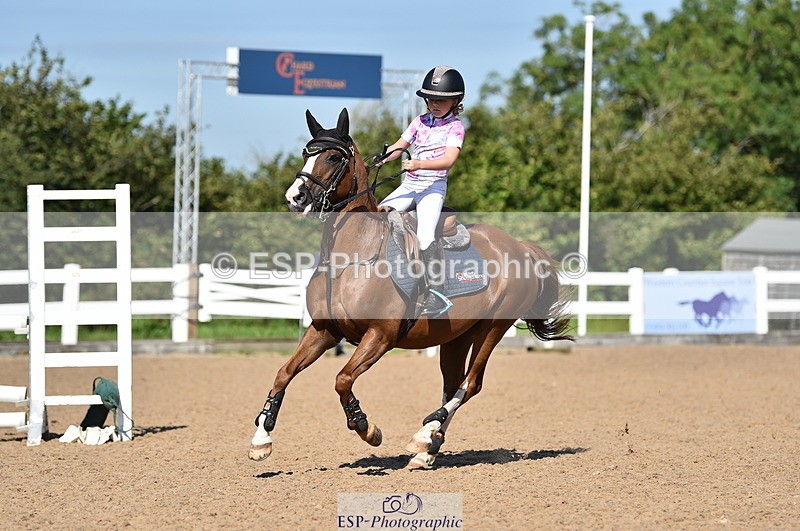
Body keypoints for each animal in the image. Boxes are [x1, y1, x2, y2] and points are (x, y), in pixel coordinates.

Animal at [249, 108, 572, 468]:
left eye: (333, 156)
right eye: (306, 154)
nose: (296, 197)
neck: (350, 259)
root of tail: (520, 247)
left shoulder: (380, 336)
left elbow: (342, 379)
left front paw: (366, 427)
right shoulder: (323, 330)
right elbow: (284, 372)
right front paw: (261, 438)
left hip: (492, 329)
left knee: (470, 384)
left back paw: (424, 433)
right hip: (456, 337)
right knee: (452, 384)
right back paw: (427, 448)